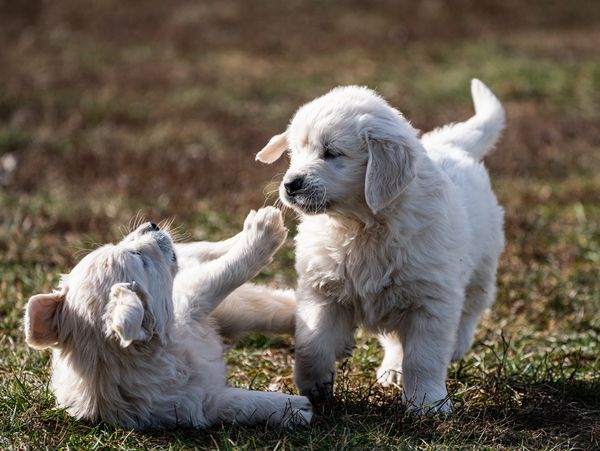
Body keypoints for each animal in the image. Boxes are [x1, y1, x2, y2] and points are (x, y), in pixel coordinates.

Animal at [23, 208, 314, 430]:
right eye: (138, 257)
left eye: (115, 245)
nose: (151, 224)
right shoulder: (200, 402)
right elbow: (241, 404)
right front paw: (293, 408)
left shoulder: (192, 300)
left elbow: (227, 277)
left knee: (203, 249)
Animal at [255, 80, 504, 414]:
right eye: (294, 152)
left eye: (331, 153)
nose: (291, 185)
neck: (361, 226)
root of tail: (452, 145)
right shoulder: (321, 290)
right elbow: (313, 344)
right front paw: (315, 388)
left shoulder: (430, 300)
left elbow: (423, 358)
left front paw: (429, 404)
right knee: (396, 342)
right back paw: (392, 371)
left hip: (482, 266)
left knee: (472, 306)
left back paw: (456, 344)